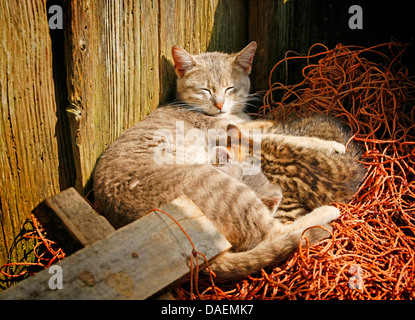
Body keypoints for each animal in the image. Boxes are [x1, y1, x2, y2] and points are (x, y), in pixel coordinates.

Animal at [93, 42, 358, 280]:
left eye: (230, 88)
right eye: (205, 90)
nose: (219, 104)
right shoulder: (232, 133)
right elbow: (282, 137)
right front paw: (330, 145)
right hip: (223, 188)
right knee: (275, 233)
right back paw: (325, 213)